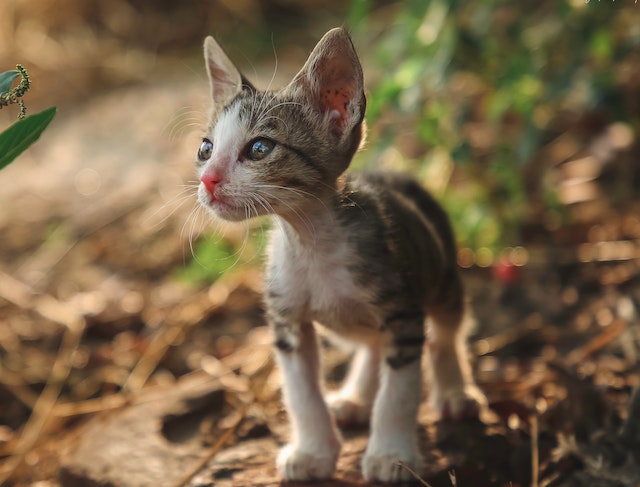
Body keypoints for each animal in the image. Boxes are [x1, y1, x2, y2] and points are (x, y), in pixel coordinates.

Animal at [195, 27, 484, 484]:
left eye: (259, 148)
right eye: (206, 149)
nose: (207, 179)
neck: (312, 244)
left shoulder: (402, 309)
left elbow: (400, 391)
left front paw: (392, 454)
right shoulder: (287, 320)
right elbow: (301, 393)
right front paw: (313, 452)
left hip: (442, 277)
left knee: (446, 332)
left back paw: (454, 391)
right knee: (372, 344)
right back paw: (355, 398)